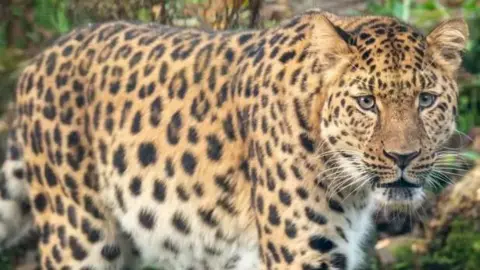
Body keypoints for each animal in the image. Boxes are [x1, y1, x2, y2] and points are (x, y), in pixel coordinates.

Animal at [6, 8, 468, 270]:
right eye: (367, 102)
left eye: (426, 100)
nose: (403, 156)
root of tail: (39, 60)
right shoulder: (301, 254)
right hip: (79, 235)